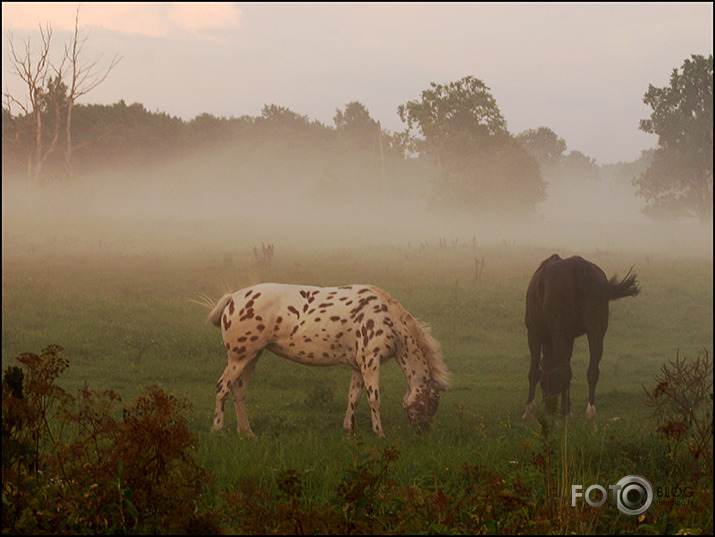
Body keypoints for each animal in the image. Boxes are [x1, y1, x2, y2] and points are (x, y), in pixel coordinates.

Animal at [208, 280, 454, 436]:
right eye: (432, 403)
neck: (389, 319)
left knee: (239, 392)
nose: (423, 430)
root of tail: (232, 298)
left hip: (252, 357)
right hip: (239, 358)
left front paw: (349, 428)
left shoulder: (358, 365)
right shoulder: (370, 362)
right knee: (222, 387)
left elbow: (354, 397)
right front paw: (380, 433)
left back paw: (247, 433)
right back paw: (218, 428)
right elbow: (374, 398)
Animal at [524, 254, 640, 418]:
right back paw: (590, 412)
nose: (550, 407)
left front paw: (528, 410)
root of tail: (579, 264)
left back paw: (565, 413)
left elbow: (534, 371)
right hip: (596, 331)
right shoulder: (570, 337)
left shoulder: (534, 332)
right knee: (592, 371)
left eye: (543, 383)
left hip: (559, 331)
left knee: (565, 370)